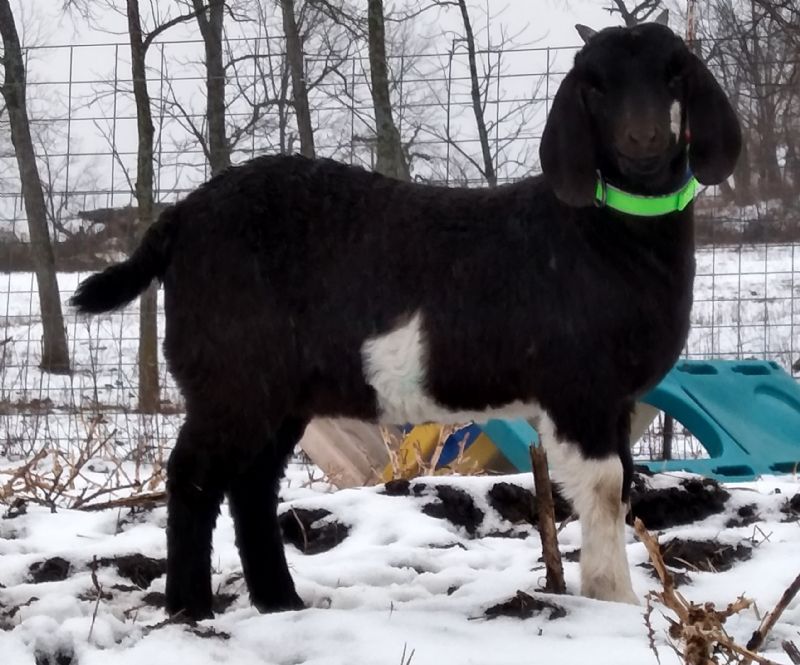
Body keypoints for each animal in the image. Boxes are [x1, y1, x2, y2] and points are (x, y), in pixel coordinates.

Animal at [72, 22, 740, 624]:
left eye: (675, 71)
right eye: (594, 85)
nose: (643, 137)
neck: (603, 236)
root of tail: (176, 220)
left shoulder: (617, 399)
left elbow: (625, 488)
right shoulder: (580, 388)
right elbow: (604, 488)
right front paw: (617, 602)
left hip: (278, 394)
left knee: (252, 486)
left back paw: (280, 601)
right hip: (230, 374)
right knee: (194, 477)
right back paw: (190, 610)